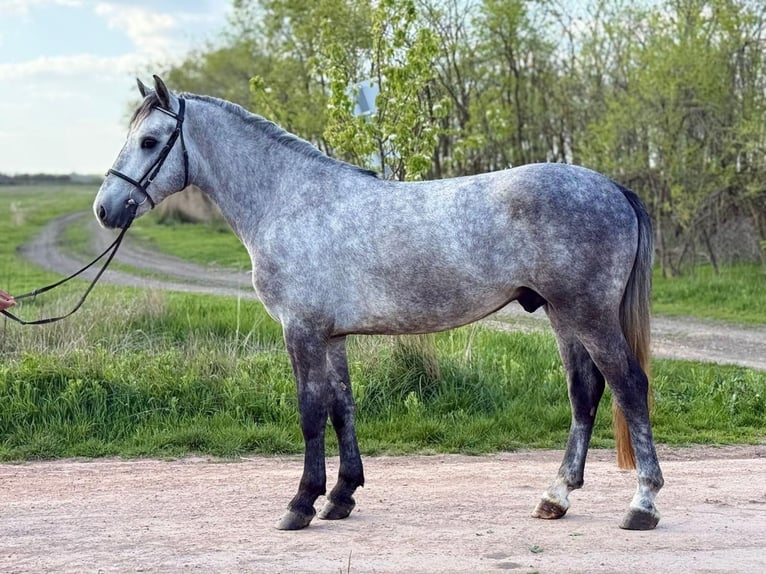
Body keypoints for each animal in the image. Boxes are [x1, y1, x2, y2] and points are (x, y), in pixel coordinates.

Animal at [94, 75, 663, 531]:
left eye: (149, 141)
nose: (105, 209)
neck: (290, 201)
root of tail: (612, 188)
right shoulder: (332, 336)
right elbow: (342, 409)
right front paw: (341, 497)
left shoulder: (301, 330)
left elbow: (310, 412)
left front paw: (301, 504)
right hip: (563, 315)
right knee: (585, 394)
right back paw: (556, 497)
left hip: (588, 315)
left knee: (630, 387)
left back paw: (643, 504)